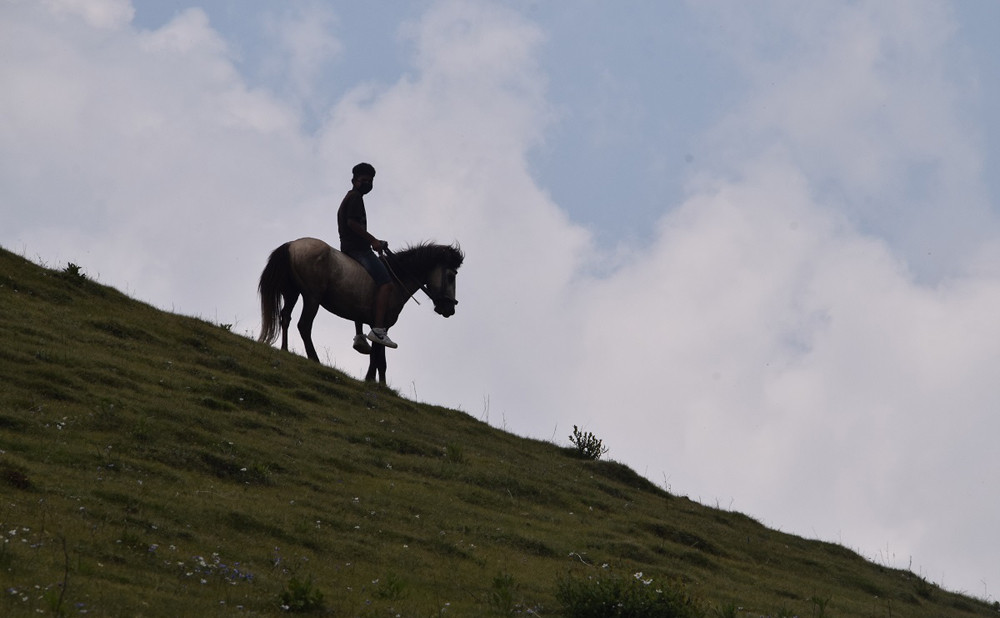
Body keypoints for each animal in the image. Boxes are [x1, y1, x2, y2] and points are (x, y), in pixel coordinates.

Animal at [256, 238, 462, 382]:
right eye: (451, 276)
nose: (449, 309)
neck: (397, 279)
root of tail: (292, 245)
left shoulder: (376, 324)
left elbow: (379, 358)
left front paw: (379, 383)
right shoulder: (382, 325)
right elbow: (378, 357)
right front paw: (373, 381)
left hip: (292, 292)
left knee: (285, 317)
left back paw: (285, 349)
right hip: (312, 297)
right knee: (304, 326)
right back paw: (314, 359)